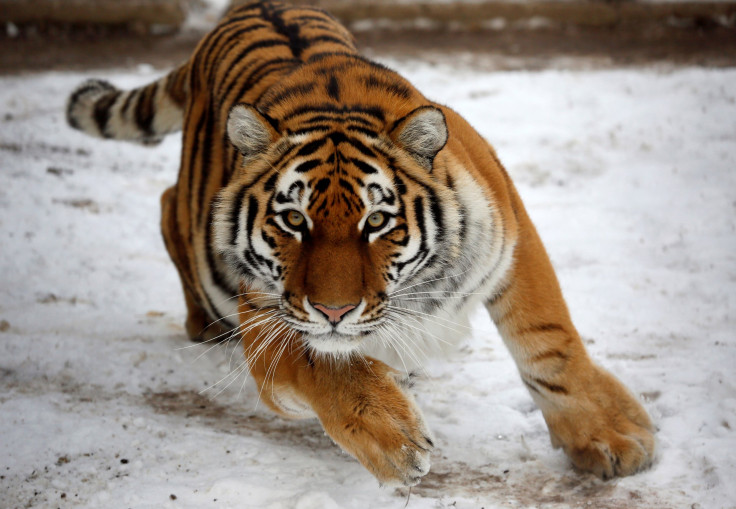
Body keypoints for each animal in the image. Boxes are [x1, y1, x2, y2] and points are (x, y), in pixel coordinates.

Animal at [67, 0, 656, 484]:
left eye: (376, 221)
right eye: (293, 219)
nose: (334, 310)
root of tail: (247, 6)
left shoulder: (510, 228)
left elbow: (547, 339)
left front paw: (609, 435)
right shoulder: (266, 315)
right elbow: (320, 363)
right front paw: (392, 434)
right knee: (170, 202)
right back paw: (205, 324)